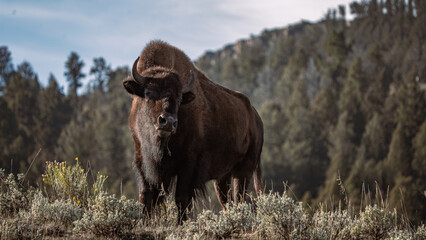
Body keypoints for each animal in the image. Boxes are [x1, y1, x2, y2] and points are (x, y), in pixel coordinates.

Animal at [122, 40, 262, 222]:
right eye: (148, 92)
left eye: (180, 97)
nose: (168, 122)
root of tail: (256, 117)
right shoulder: (144, 163)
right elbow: (146, 197)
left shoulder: (189, 166)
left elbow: (181, 199)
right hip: (222, 177)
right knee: (227, 201)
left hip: (244, 169)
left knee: (239, 198)